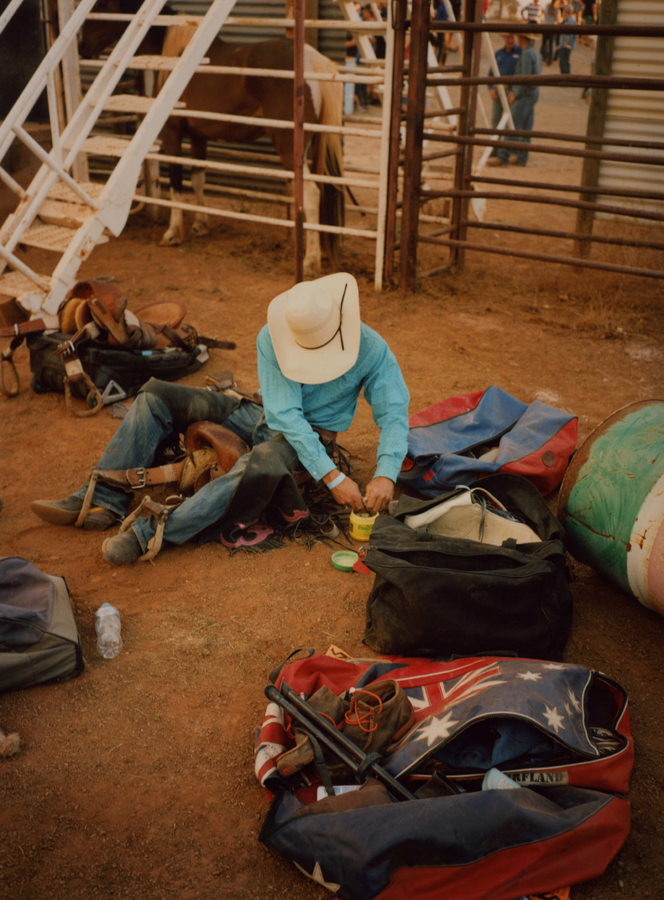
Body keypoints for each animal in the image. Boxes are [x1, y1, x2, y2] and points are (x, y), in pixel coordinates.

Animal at [80, 0, 344, 274]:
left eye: (102, 4)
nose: (82, 46)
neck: (178, 58)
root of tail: (312, 60)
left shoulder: (172, 134)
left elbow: (175, 181)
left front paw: (173, 233)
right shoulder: (199, 136)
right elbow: (198, 179)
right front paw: (201, 224)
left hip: (289, 147)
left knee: (311, 194)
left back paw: (310, 261)